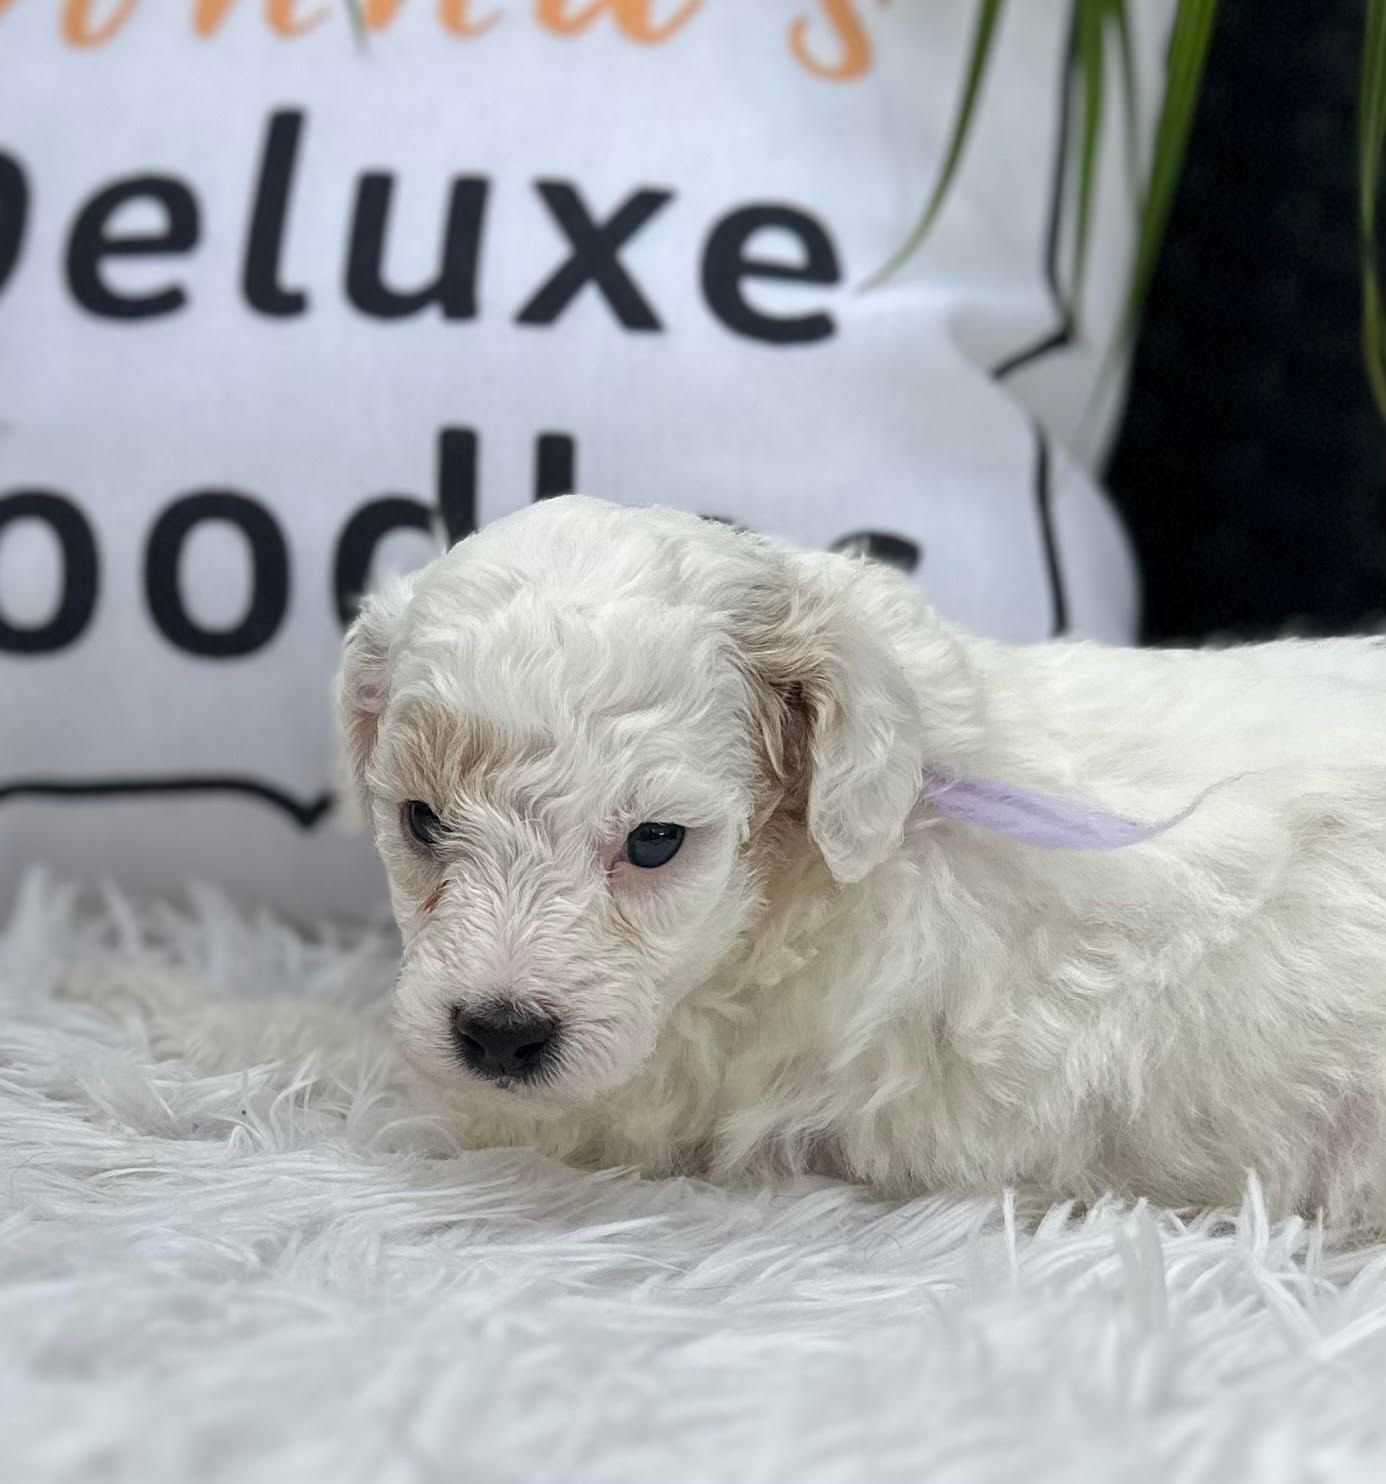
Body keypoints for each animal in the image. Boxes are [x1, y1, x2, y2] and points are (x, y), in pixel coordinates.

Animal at [65, 501, 1386, 1228]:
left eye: (657, 841)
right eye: (423, 821)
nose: (499, 1032)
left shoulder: (614, 1098)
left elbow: (342, 1047)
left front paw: (141, 995)